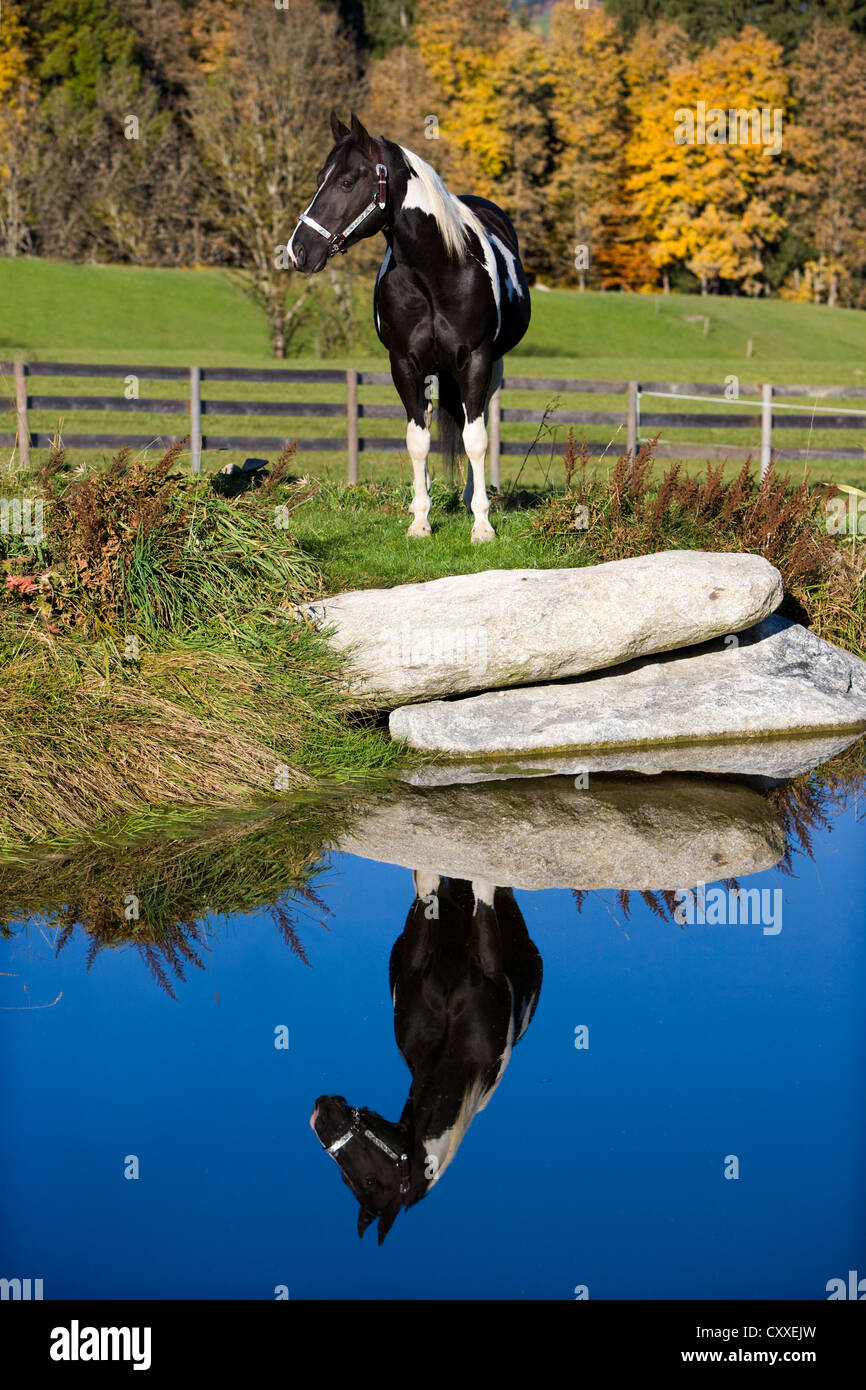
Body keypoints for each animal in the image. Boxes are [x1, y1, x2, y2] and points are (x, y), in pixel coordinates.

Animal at [287, 111, 531, 542]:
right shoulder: (404, 364)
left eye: (346, 181)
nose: (297, 251)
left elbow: (476, 439)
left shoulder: (477, 361)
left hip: (491, 368)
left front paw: (482, 524)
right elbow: (418, 440)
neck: (434, 272)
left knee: (475, 419)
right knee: (432, 418)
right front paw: (420, 519)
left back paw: (470, 497)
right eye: (319, 177)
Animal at [310, 873, 542, 1245]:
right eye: (349, 1179)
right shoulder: (417, 963)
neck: (451, 1057)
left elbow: (478, 897)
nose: (318, 1112)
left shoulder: (489, 967)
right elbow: (427, 892)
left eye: (368, 1181)